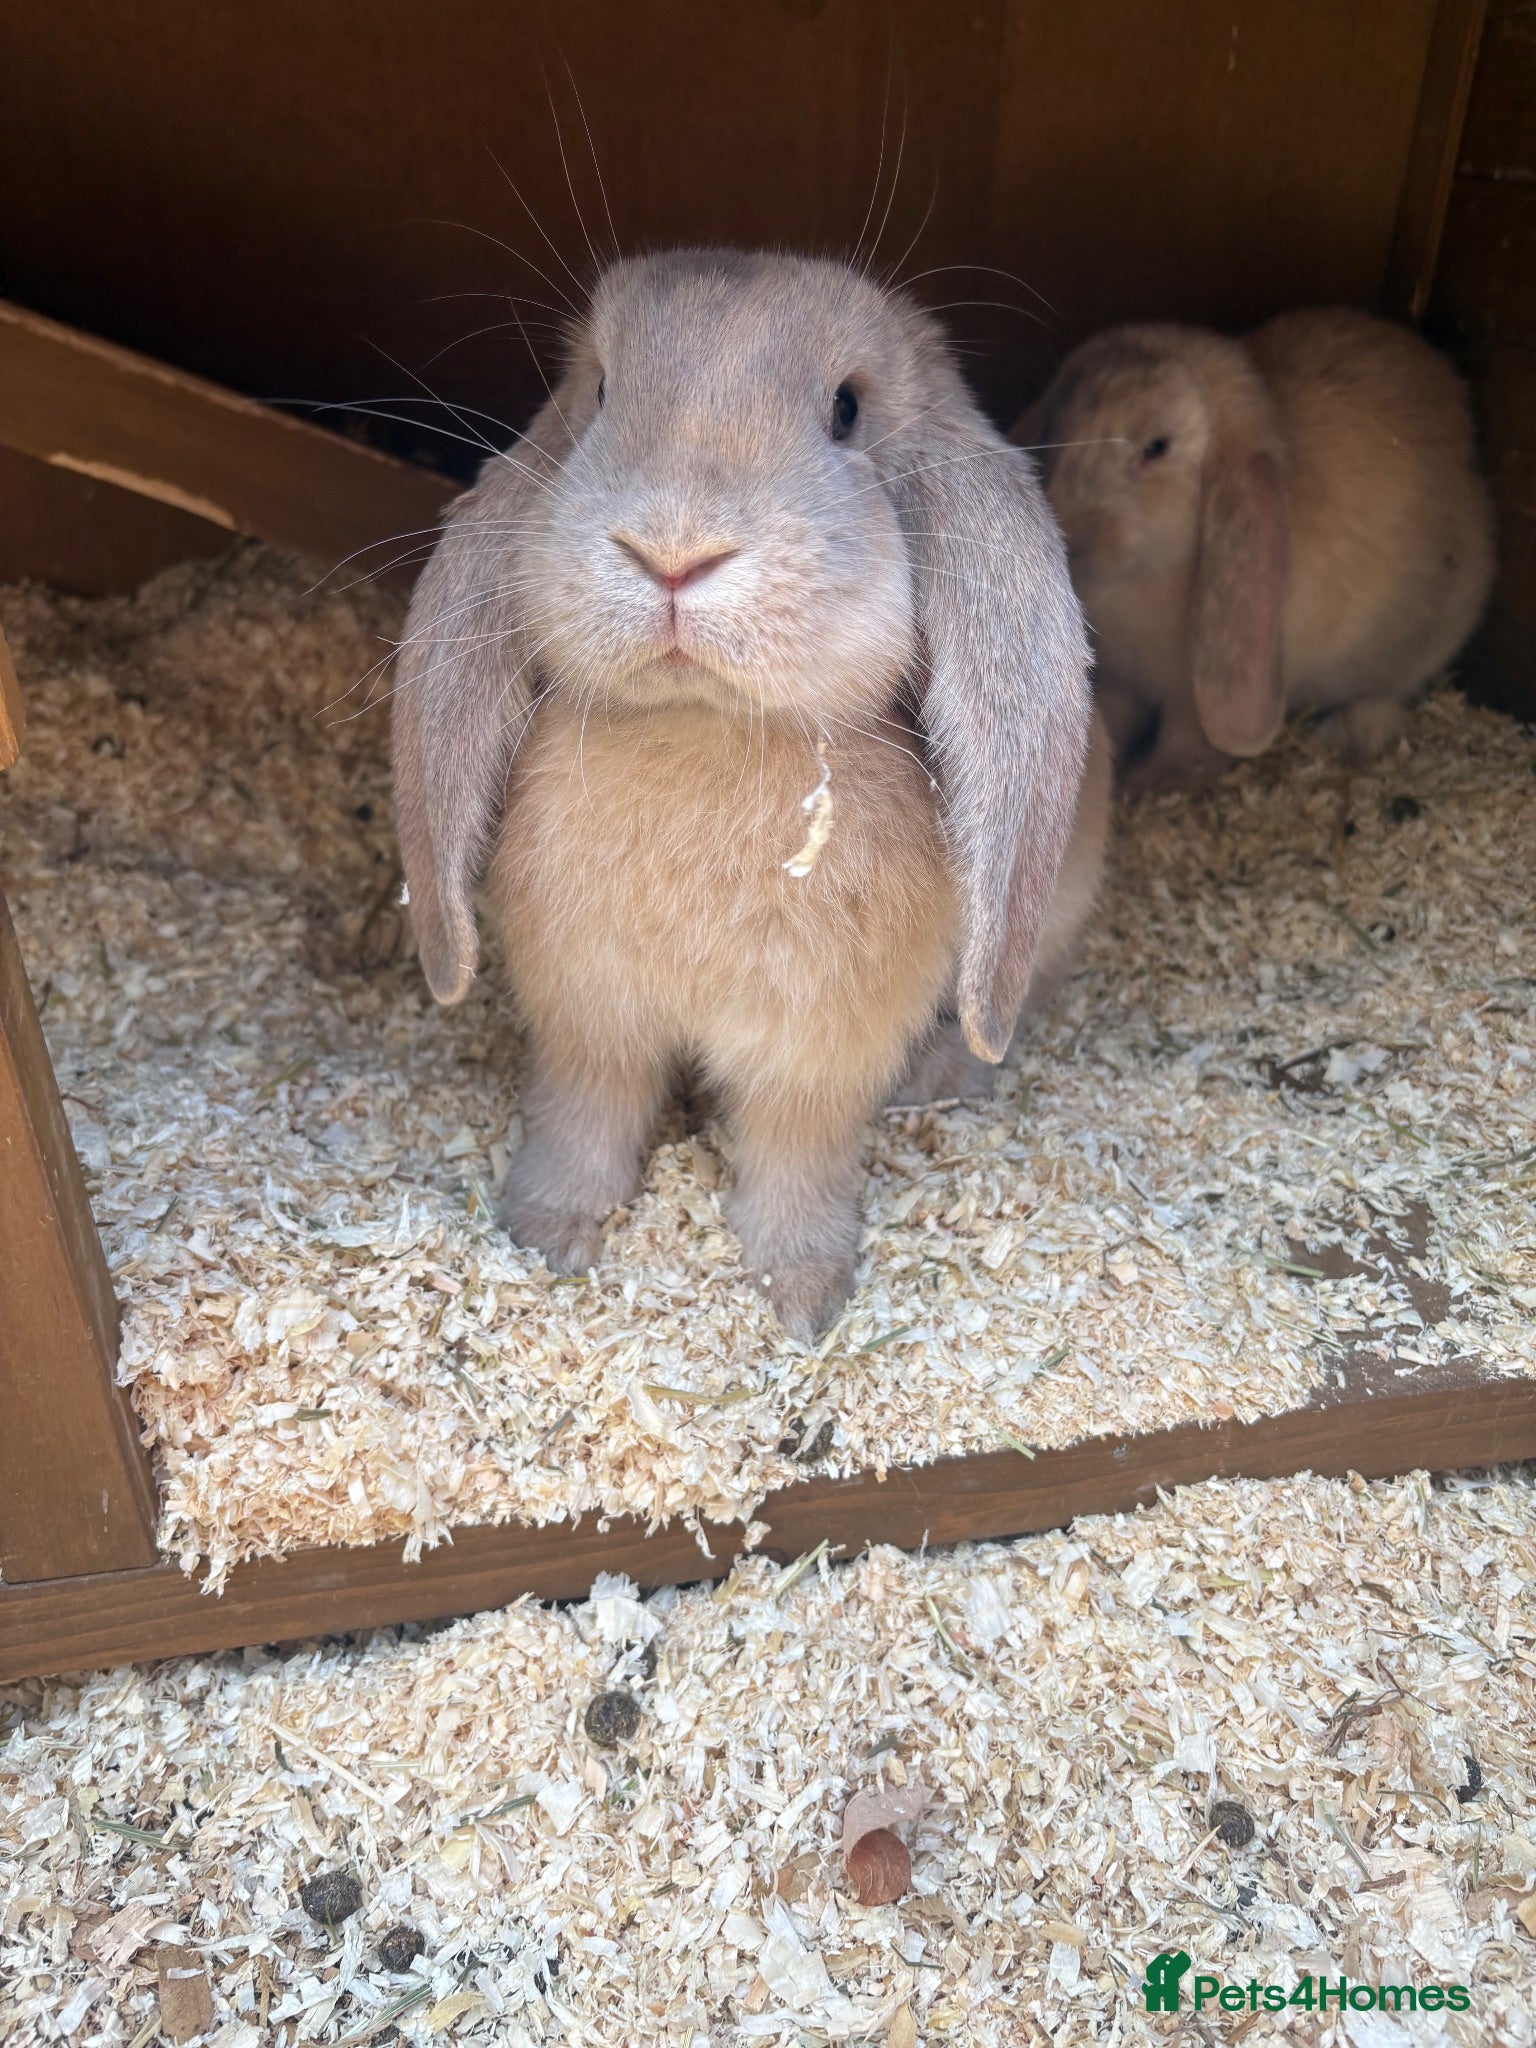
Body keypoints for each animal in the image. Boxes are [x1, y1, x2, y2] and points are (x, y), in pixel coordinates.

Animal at [392, 247, 1104, 1341]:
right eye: (601, 391)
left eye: (848, 409)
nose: (673, 549)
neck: (705, 730)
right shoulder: (586, 1017)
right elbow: (586, 1118)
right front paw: (543, 1233)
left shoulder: (817, 1052)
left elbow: (793, 1156)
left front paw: (803, 1297)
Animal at [1015, 308, 1496, 792]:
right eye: (1056, 429)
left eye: (1157, 447)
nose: (1068, 532)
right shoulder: (1120, 682)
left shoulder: (1193, 700)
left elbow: (1189, 746)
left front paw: (1149, 781)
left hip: (1428, 638)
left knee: (1387, 692)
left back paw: (1351, 732)